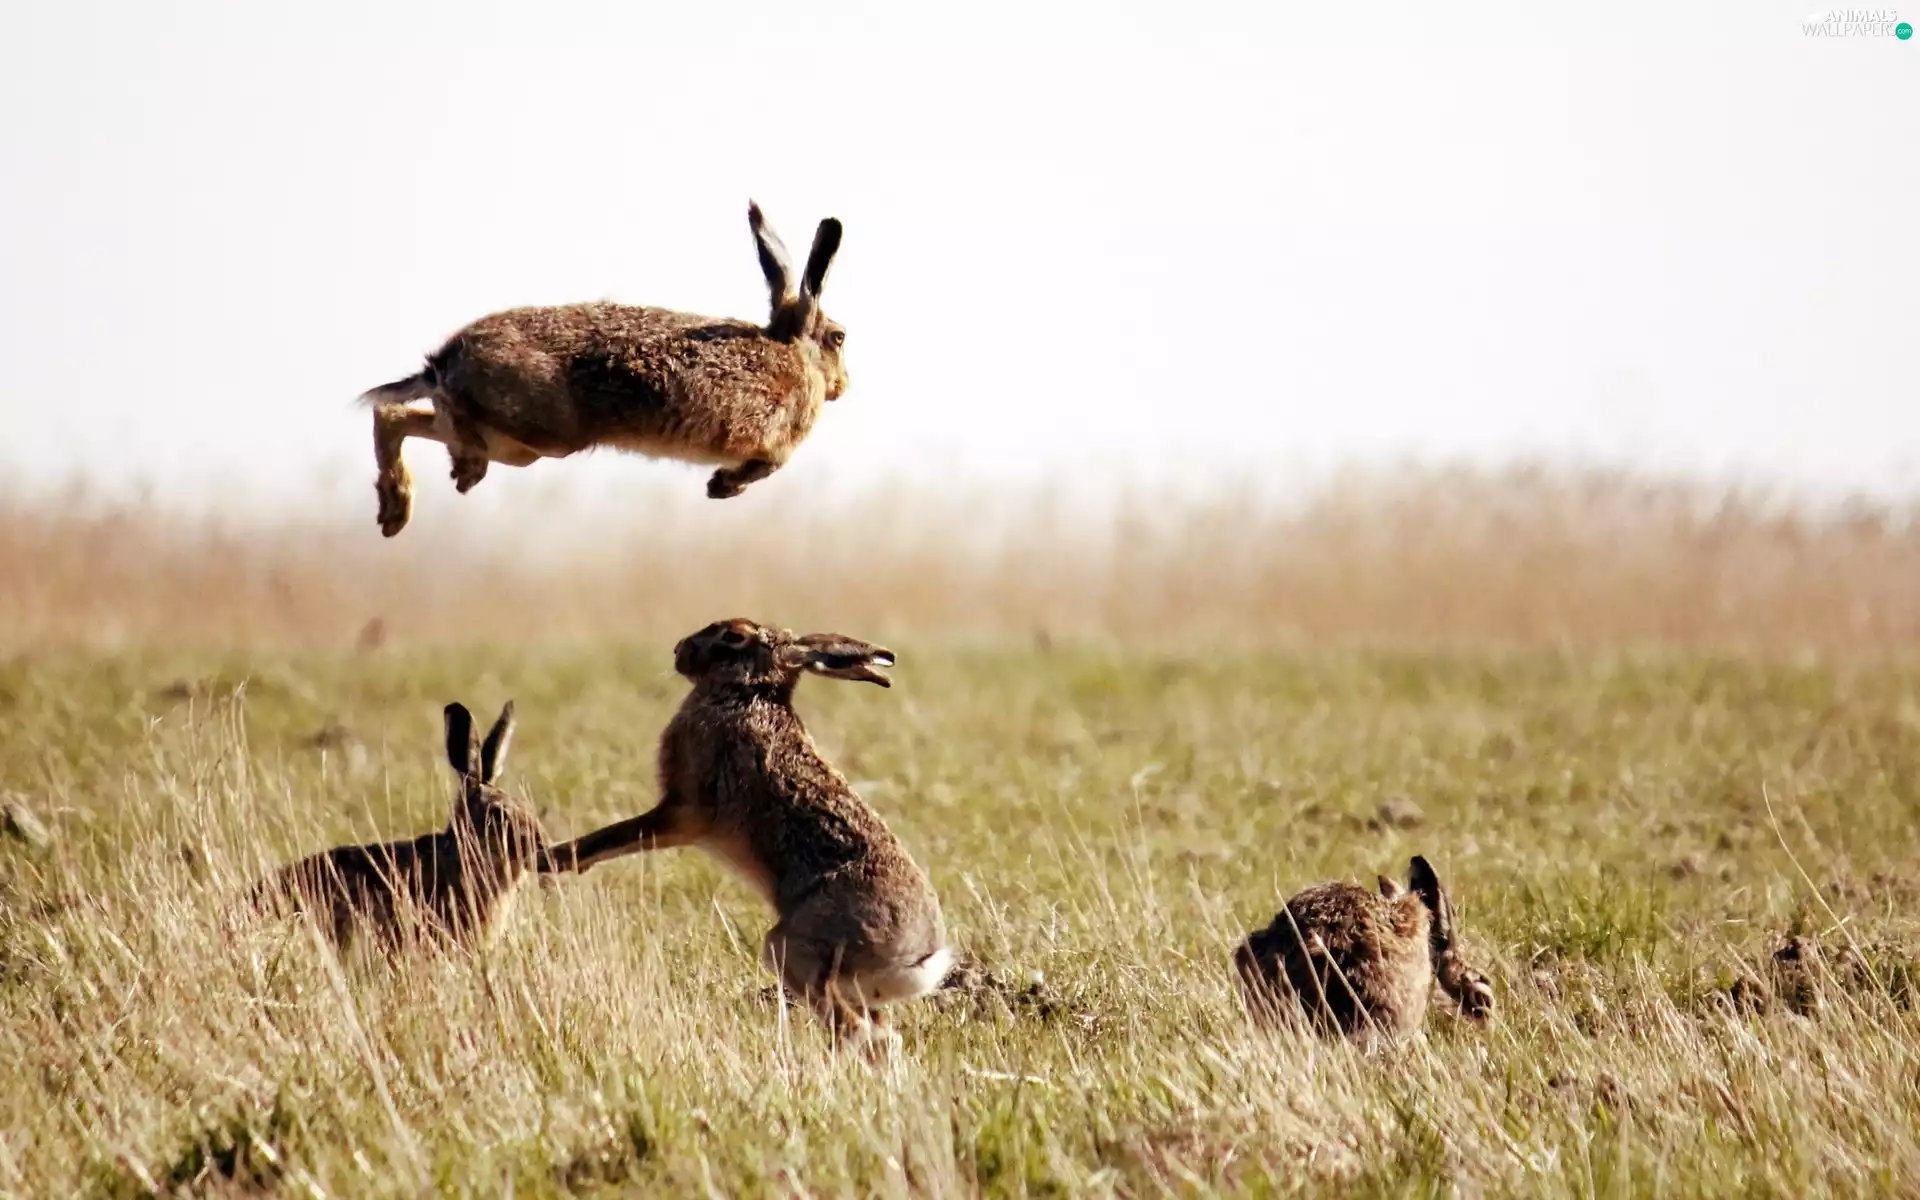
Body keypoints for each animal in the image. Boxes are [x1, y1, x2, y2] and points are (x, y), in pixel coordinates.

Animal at [360, 201, 847, 537]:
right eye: (839, 338)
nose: (843, 385)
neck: (797, 353)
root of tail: (446, 360)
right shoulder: (773, 441)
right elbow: (767, 466)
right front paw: (722, 486)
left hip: (516, 441)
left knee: (397, 415)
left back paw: (398, 508)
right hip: (541, 434)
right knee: (418, 424)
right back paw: (453, 476)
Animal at [539, 619, 950, 1051]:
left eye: (734, 636)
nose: (679, 650)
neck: (748, 693)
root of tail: (920, 957)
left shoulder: (684, 812)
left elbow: (617, 836)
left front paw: (548, 858)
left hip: (797, 954)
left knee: (859, 1032)